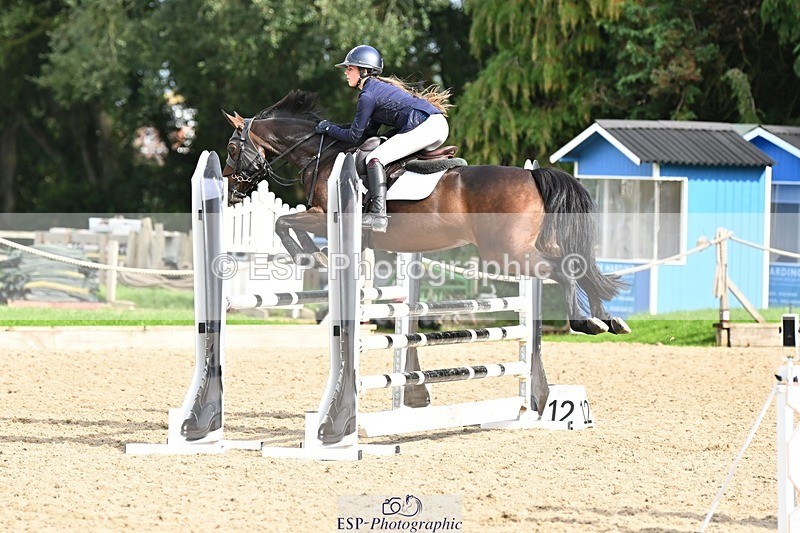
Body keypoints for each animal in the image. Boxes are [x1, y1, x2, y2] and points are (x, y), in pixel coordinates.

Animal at [221, 90, 630, 341]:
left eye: (231, 149)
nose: (230, 193)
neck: (322, 155)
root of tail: (532, 174)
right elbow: (289, 225)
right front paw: (316, 256)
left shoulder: (324, 214)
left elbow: (283, 223)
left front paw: (312, 256)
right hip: (531, 245)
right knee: (578, 264)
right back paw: (609, 319)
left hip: (507, 252)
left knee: (563, 270)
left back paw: (585, 323)